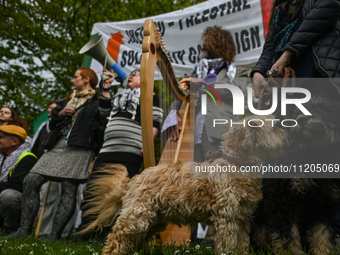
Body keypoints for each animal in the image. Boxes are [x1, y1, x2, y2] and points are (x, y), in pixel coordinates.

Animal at [83, 114, 286, 254]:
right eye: (274, 127)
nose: (286, 130)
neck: (238, 165)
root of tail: (135, 179)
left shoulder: (243, 219)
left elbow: (242, 246)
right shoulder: (227, 219)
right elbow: (228, 247)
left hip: (155, 221)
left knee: (136, 241)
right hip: (137, 216)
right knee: (117, 237)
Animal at [251, 96, 340, 254]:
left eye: (321, 108)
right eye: (297, 112)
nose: (302, 119)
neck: (314, 156)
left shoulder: (324, 204)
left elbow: (323, 234)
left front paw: (324, 251)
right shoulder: (282, 200)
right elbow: (286, 235)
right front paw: (291, 252)